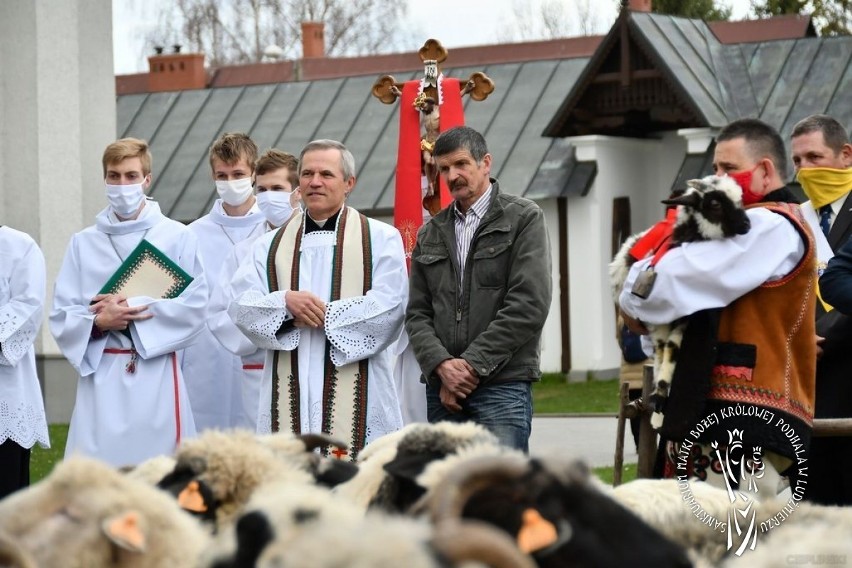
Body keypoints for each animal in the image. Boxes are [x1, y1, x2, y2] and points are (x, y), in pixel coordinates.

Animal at [608, 175, 748, 428]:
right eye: (715, 203)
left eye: (740, 199)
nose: (746, 225)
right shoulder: (658, 319)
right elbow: (664, 350)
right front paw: (658, 403)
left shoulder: (686, 316)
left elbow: (673, 348)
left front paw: (661, 400)